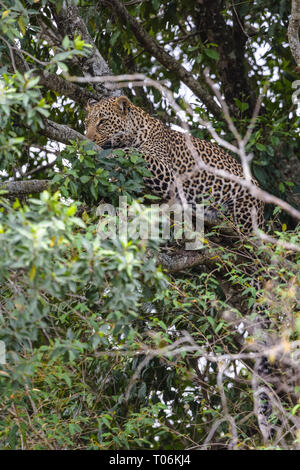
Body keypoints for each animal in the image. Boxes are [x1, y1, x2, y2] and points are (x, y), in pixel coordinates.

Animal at [85, 95, 264, 235]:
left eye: (102, 121)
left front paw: (113, 153)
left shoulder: (169, 175)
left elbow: (136, 153)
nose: (87, 139)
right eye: (87, 122)